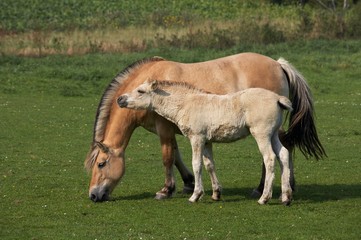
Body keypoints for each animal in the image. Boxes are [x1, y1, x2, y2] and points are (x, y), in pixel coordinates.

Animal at [118, 79, 292, 205]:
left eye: (140, 91)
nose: (120, 99)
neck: (187, 104)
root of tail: (277, 98)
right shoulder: (207, 141)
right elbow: (209, 165)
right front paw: (216, 194)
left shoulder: (197, 138)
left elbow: (197, 164)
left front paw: (195, 195)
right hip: (273, 134)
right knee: (283, 154)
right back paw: (286, 197)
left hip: (262, 134)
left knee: (269, 158)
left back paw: (264, 198)